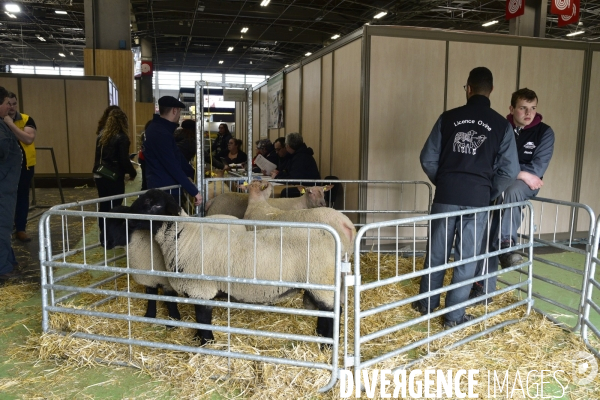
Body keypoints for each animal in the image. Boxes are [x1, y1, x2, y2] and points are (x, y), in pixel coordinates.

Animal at [126, 189, 352, 346]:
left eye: (152, 204)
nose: (126, 214)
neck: (184, 237)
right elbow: (199, 321)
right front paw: (198, 338)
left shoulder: (201, 289)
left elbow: (203, 319)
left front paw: (206, 343)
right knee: (327, 312)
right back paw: (321, 337)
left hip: (321, 280)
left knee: (333, 311)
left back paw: (327, 345)